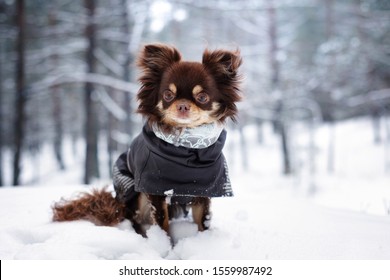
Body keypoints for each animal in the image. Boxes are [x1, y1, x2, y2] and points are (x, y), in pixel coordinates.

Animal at [51, 43, 241, 238]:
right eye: (168, 95)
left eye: (202, 97)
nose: (182, 105)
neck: (186, 146)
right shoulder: (155, 190)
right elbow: (162, 222)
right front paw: (165, 243)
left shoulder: (203, 191)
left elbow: (202, 221)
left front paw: (203, 239)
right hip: (135, 195)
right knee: (135, 219)